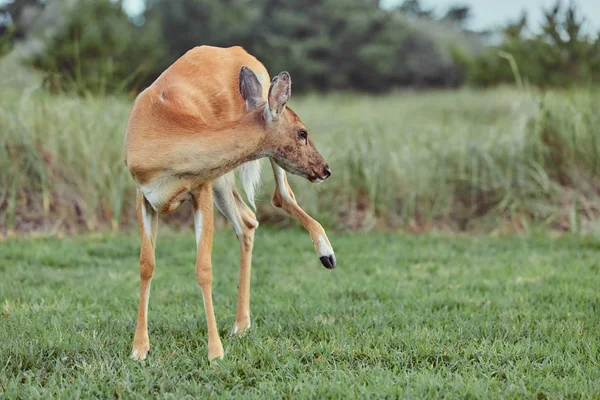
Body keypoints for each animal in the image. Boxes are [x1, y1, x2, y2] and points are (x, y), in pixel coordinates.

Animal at [123, 45, 336, 360]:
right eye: (303, 132)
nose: (325, 169)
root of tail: (240, 51)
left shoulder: (201, 186)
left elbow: (204, 268)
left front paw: (215, 352)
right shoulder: (144, 195)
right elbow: (146, 265)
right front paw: (139, 348)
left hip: (228, 173)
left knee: (279, 197)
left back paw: (326, 254)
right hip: (223, 177)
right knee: (249, 219)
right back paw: (241, 325)